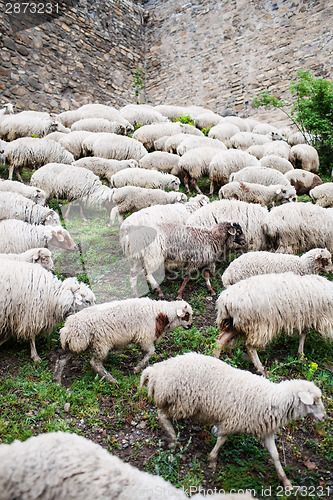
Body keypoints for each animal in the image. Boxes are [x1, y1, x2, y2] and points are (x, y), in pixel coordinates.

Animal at [53, 298, 192, 384]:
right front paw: (137, 368)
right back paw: (112, 380)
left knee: (61, 360)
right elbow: (151, 352)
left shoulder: (145, 340)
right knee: (95, 363)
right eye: (187, 315)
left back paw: (57, 381)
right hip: (100, 344)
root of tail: (67, 328)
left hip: (77, 344)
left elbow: (146, 354)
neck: (162, 314)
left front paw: (145, 368)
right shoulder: (145, 338)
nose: (191, 326)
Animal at [141, 352, 326, 488]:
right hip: (180, 403)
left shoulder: (265, 431)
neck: (272, 400)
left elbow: (275, 456)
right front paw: (212, 461)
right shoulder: (232, 420)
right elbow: (222, 440)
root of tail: (156, 371)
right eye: (314, 402)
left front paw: (285, 481)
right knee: (161, 415)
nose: (324, 417)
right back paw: (173, 438)